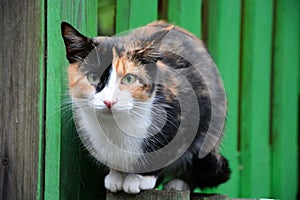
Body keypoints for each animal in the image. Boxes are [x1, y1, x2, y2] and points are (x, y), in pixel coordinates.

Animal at [60, 20, 230, 194]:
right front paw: (116, 175)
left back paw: (178, 184)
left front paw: (141, 178)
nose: (109, 102)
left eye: (129, 79)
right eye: (93, 77)